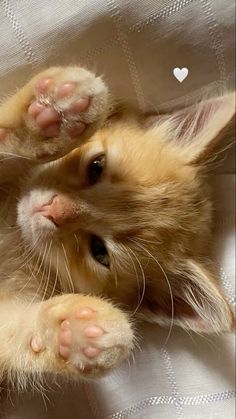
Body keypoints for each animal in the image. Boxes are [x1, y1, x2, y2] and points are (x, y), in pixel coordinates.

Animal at [0, 65, 234, 390]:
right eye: (96, 167)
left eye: (99, 251)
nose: (51, 210)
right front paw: (51, 114)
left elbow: (12, 335)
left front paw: (72, 332)